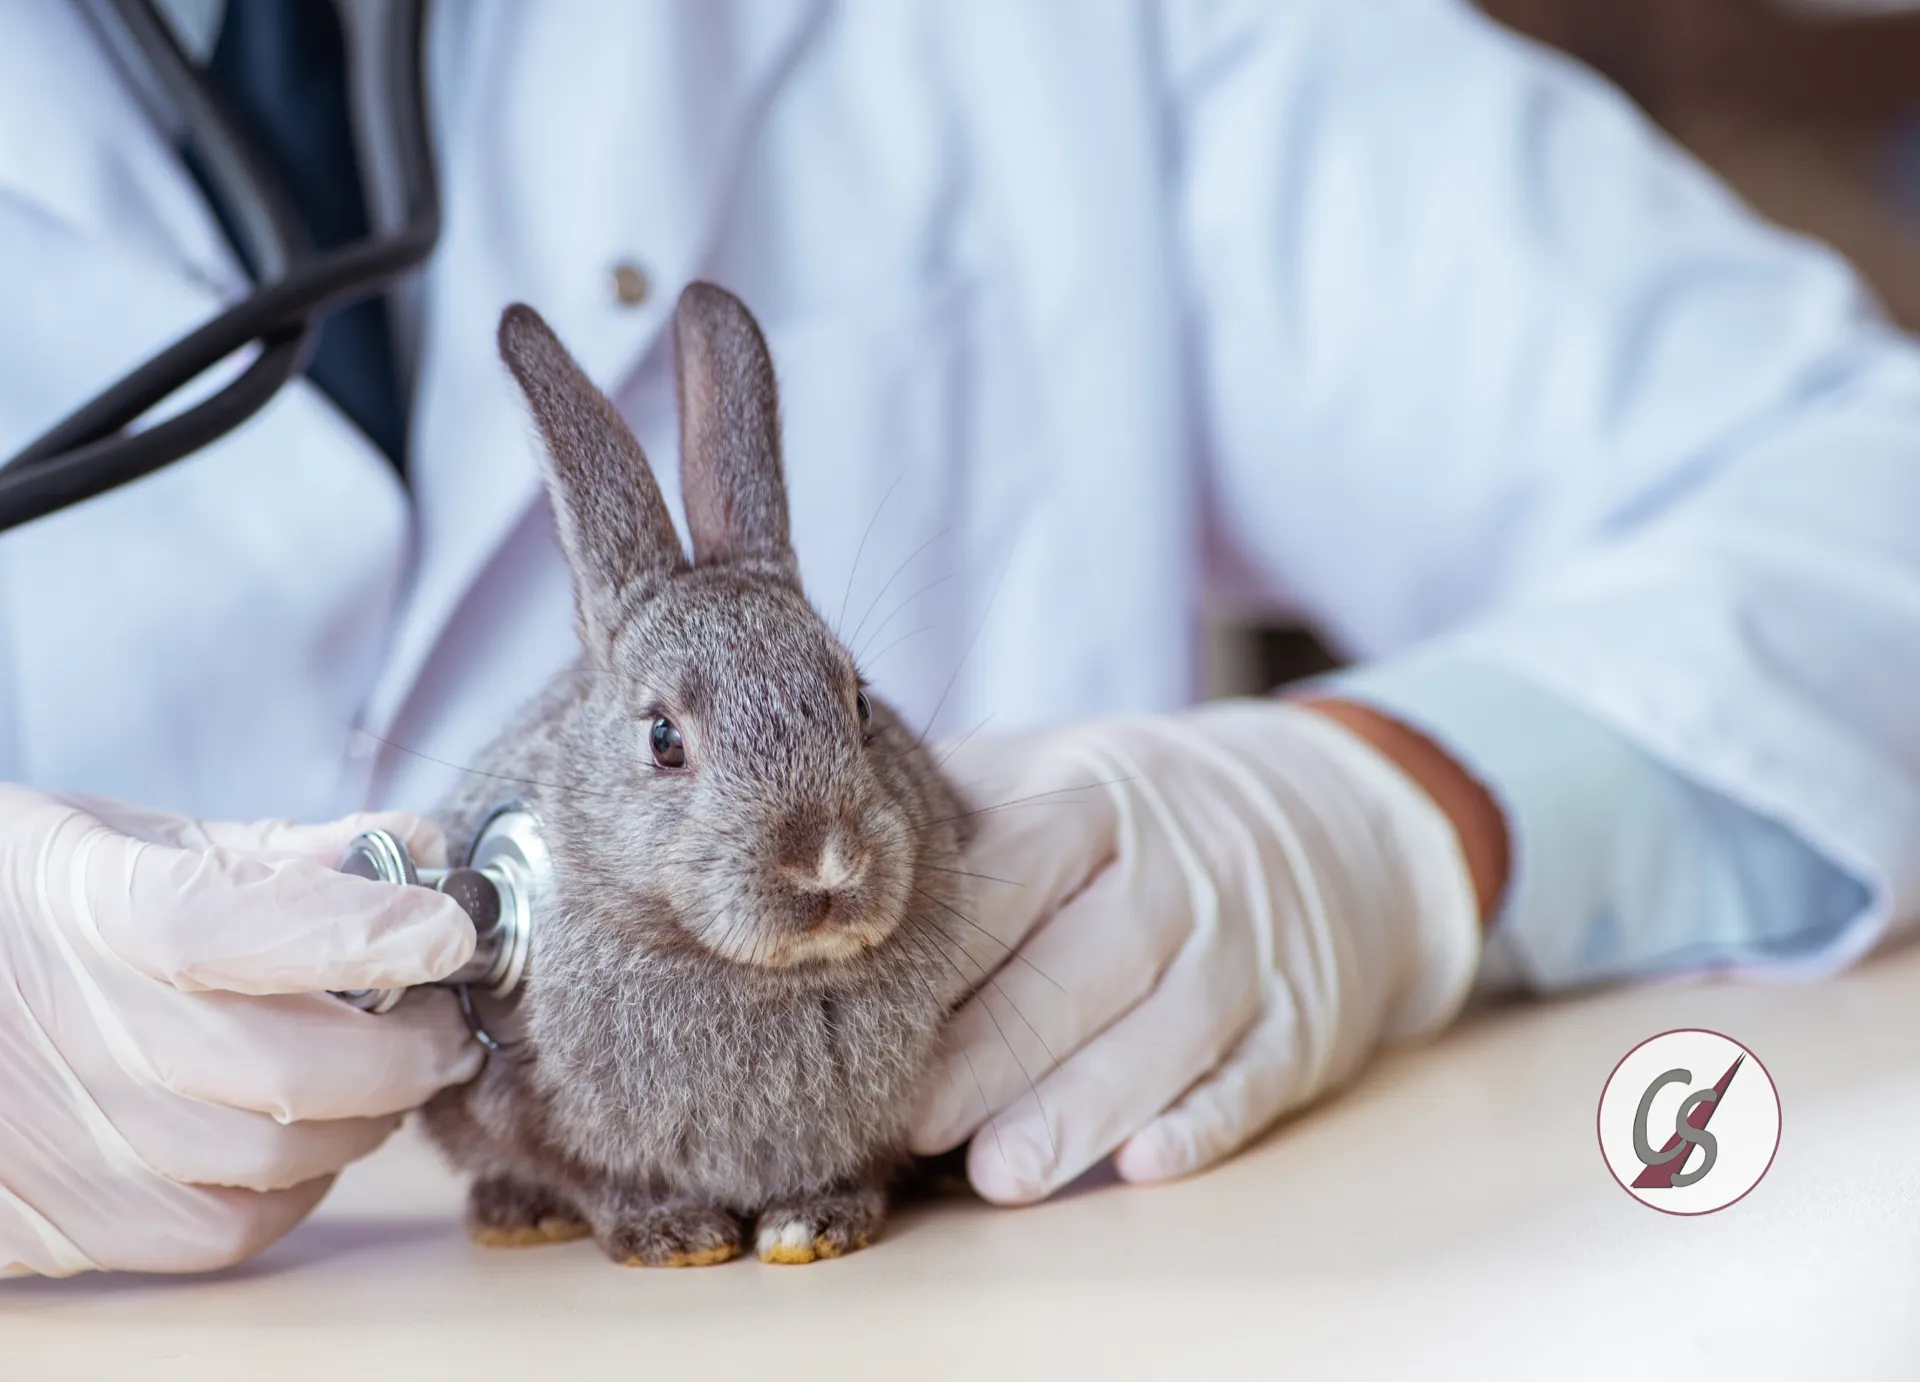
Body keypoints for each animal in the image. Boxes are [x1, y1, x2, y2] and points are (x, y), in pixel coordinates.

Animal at [419, 283, 972, 1267]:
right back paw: (515, 1216)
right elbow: (592, 1173)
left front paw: (814, 1223)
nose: (825, 866)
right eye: (665, 739)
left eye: (860, 704)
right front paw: (672, 1235)